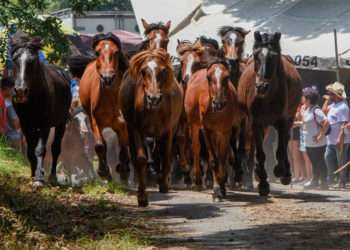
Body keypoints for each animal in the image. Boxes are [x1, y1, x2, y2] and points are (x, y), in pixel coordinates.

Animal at [10, 31, 71, 187]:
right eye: (15, 59)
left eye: (32, 61)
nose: (20, 91)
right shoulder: (25, 124)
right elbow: (30, 149)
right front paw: (33, 175)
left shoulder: (45, 124)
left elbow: (40, 149)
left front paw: (38, 179)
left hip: (61, 123)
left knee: (55, 148)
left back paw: (52, 176)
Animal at [79, 32, 130, 182]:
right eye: (97, 52)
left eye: (116, 52)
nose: (107, 78)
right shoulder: (94, 121)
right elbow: (100, 146)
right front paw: (103, 172)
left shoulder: (123, 124)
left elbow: (124, 145)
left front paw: (123, 170)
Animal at [119, 49, 182, 207]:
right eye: (143, 71)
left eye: (163, 70)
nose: (153, 98)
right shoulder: (136, 130)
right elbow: (141, 159)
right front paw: (142, 196)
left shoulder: (168, 131)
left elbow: (166, 156)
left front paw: (163, 183)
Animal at [186, 59, 243, 199]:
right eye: (208, 77)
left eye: (227, 77)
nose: (218, 103)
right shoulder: (207, 130)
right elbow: (214, 159)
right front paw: (217, 189)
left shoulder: (226, 131)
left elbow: (222, 158)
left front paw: (221, 186)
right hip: (193, 125)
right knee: (196, 148)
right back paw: (197, 181)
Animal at [238, 31, 304, 195]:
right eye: (256, 56)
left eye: (273, 57)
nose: (261, 86)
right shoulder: (256, 122)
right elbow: (260, 152)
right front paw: (262, 182)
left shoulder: (282, 121)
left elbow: (281, 147)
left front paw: (281, 171)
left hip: (289, 117)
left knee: (285, 141)